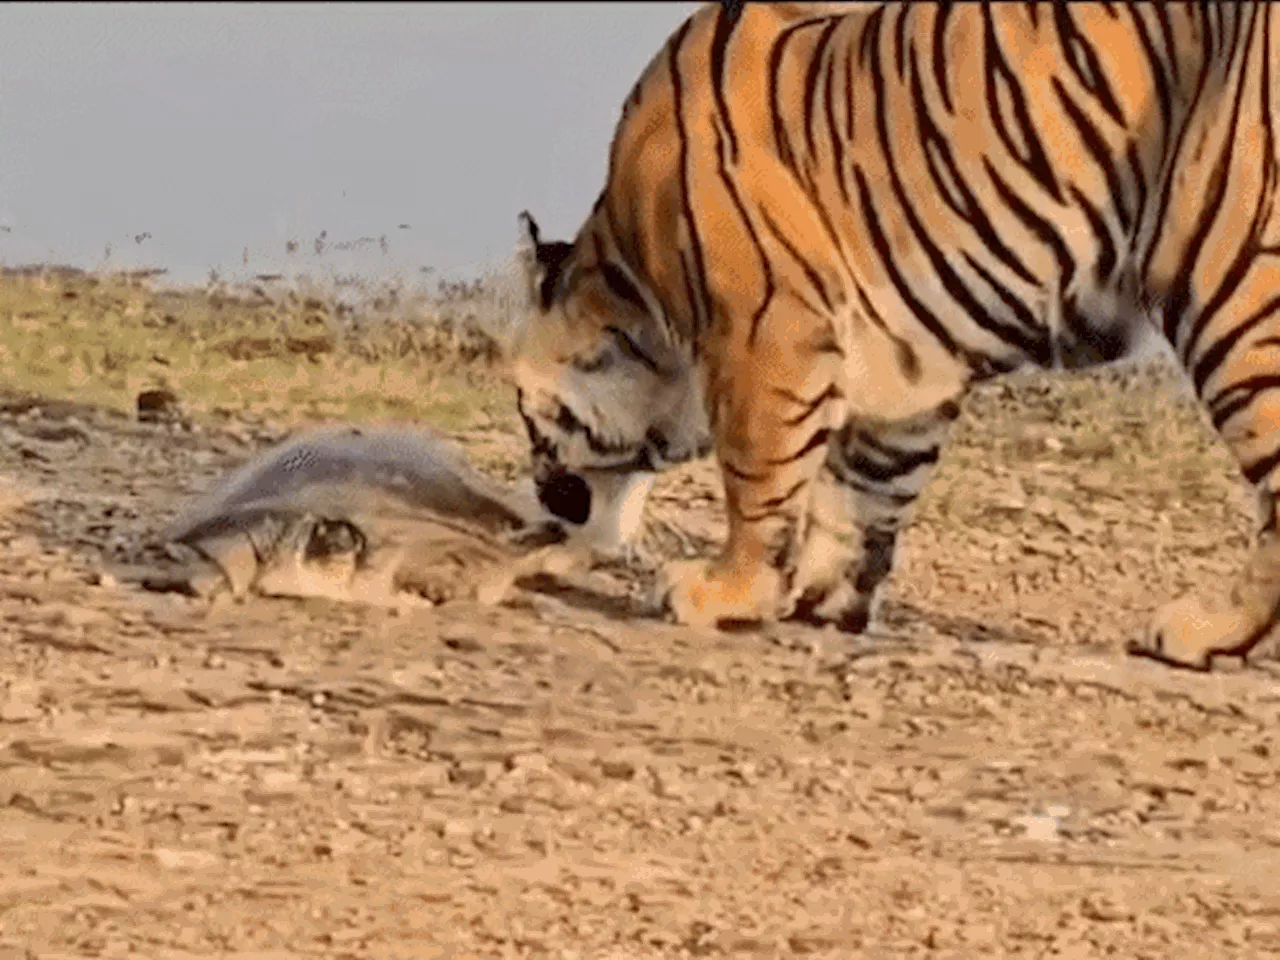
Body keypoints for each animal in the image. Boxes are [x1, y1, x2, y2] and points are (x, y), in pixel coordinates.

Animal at [504, 1, 1280, 675]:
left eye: (528, 417)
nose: (541, 497)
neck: (634, 278)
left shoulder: (767, 324)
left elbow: (761, 475)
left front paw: (727, 590)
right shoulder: (911, 364)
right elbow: (868, 481)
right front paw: (822, 594)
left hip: (1232, 285)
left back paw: (1201, 632)